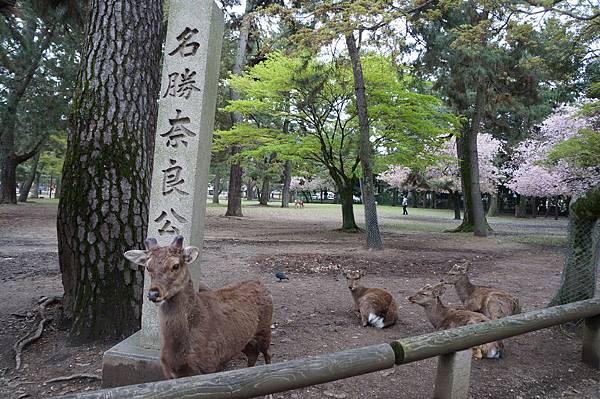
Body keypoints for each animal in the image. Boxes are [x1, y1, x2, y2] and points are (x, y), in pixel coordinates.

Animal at [123, 236, 272, 380]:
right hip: (245, 341)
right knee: (252, 355)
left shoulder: (209, 365)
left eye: (175, 265)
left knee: (267, 354)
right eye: (148, 267)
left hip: (264, 329)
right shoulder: (169, 372)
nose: (153, 294)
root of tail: (260, 283)